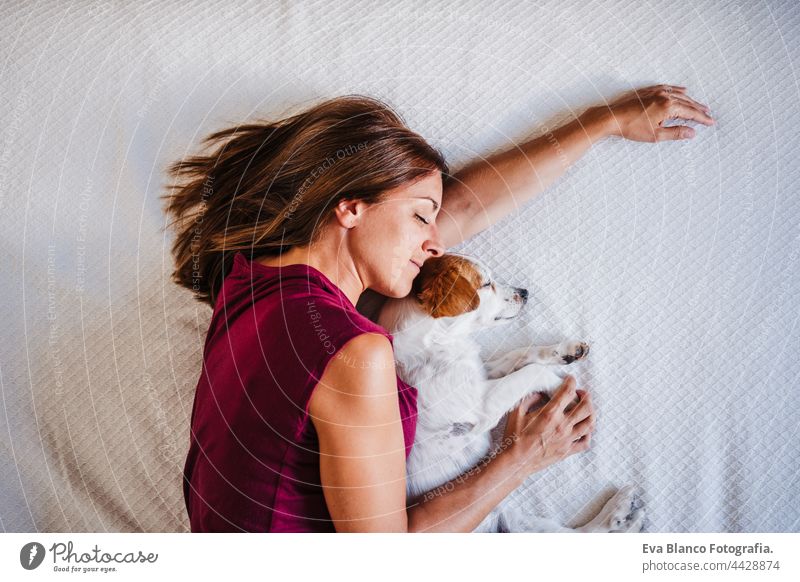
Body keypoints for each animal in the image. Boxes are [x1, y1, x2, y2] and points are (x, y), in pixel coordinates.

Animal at [378, 253, 648, 536]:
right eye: (486, 283)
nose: (525, 292)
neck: (438, 343)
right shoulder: (481, 404)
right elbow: (532, 371)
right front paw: (564, 393)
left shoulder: (483, 372)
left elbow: (520, 354)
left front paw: (566, 351)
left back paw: (623, 510)